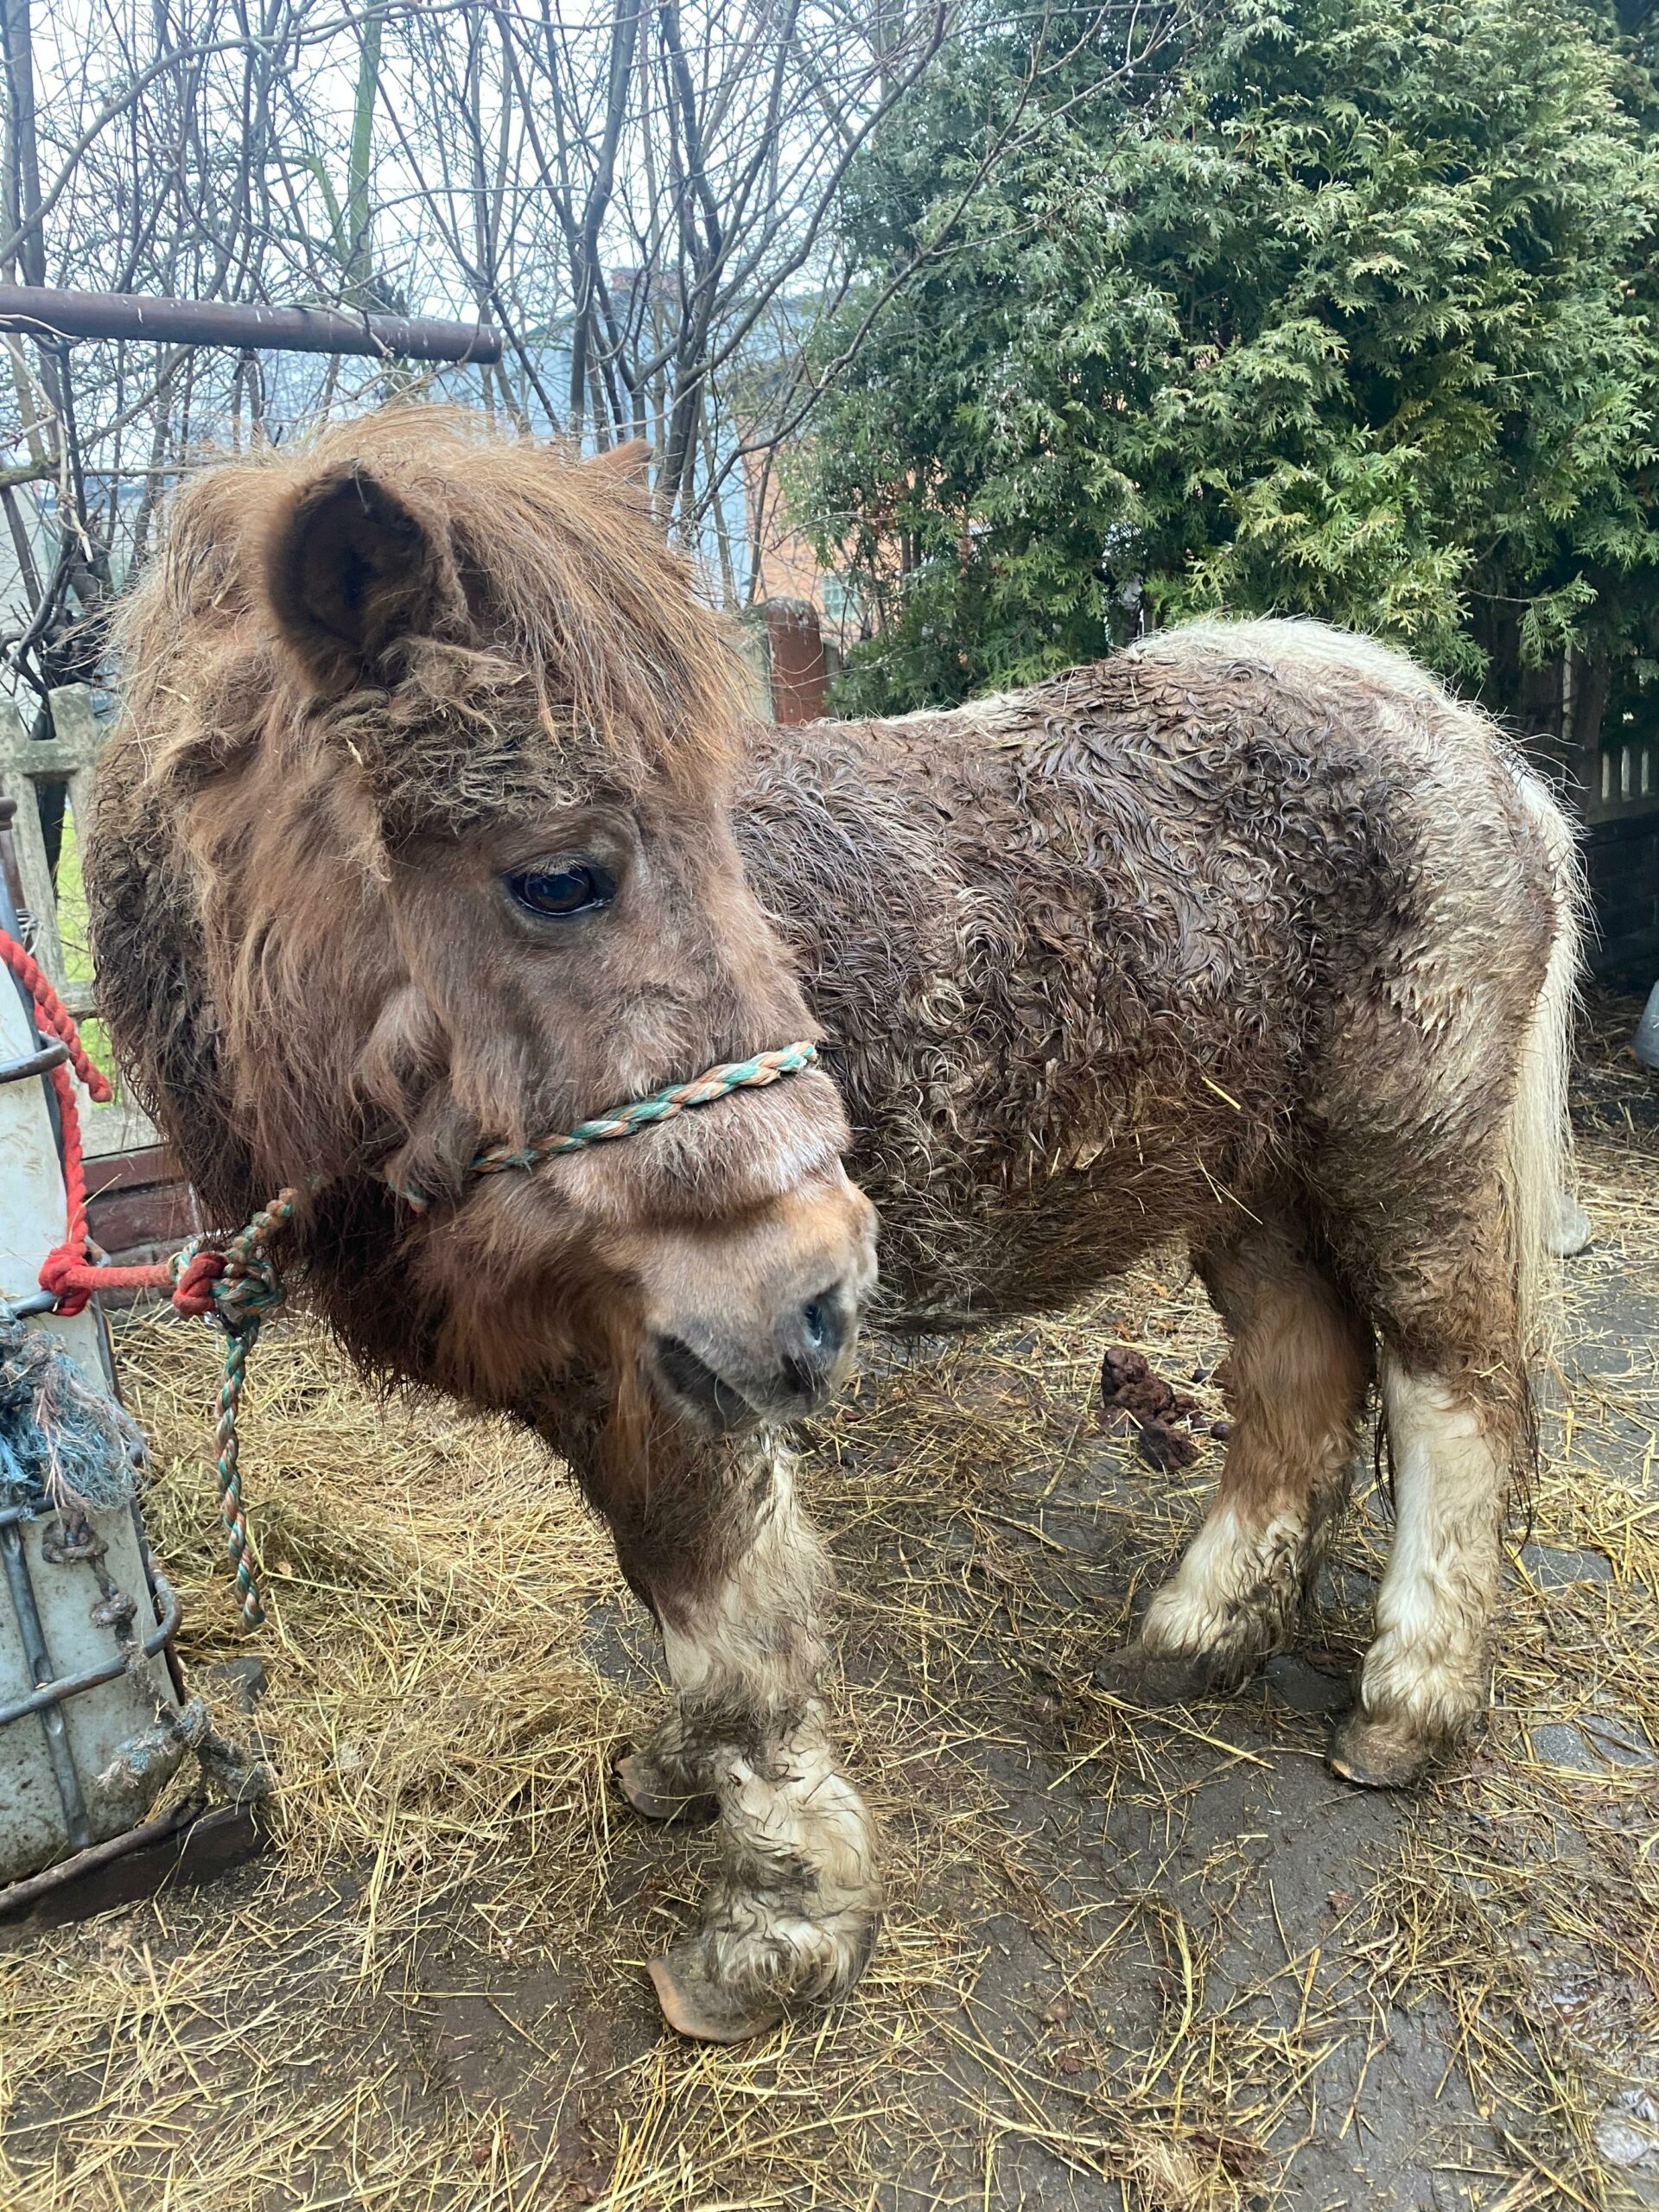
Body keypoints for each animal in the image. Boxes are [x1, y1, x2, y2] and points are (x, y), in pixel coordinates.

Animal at [88, 409, 1579, 2044]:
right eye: (559, 877)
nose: (820, 1292)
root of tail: (1477, 747)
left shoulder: (679, 1365)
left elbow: (731, 1622)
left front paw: (775, 1932)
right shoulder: (622, 1370)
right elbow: (665, 1588)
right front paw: (684, 1779)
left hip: (1404, 1160)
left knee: (1454, 1394)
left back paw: (1409, 1705)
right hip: (1244, 1183)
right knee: (1305, 1381)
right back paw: (1196, 1635)